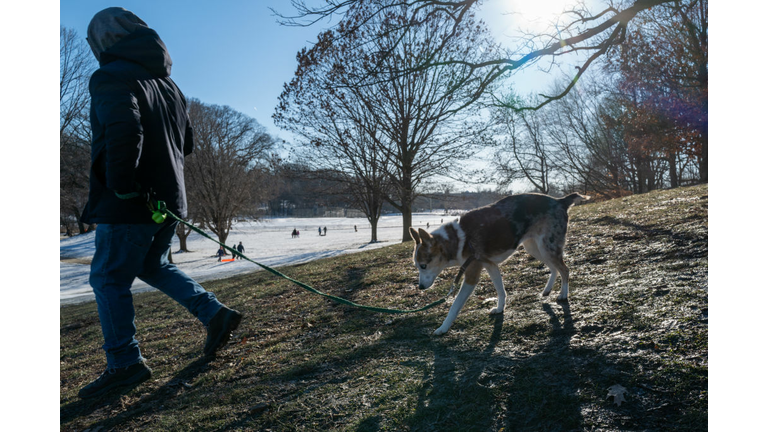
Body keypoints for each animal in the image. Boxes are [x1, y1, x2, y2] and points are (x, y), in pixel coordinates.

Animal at [412, 194, 592, 336]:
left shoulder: (471, 275)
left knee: (565, 269)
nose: (420, 287)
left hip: (547, 247)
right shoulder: (490, 265)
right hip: (534, 247)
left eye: (423, 266)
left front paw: (443, 328)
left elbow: (455, 306)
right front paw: (500, 308)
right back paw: (547, 290)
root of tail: (560, 201)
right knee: (554, 268)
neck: (457, 239)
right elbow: (500, 290)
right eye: (417, 266)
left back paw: (563, 294)